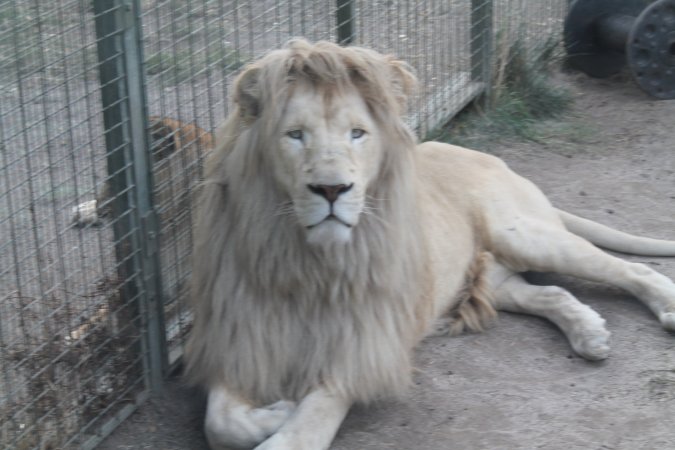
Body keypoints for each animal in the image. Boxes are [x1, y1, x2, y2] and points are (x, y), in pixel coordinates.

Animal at [185, 40, 675, 448]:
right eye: (295, 135)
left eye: (357, 133)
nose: (332, 189)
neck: (305, 263)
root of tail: (492, 157)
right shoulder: (240, 335)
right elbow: (221, 422)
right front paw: (275, 410)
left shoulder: (366, 343)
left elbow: (309, 422)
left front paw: (287, 420)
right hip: (486, 277)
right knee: (550, 291)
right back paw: (589, 333)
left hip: (527, 235)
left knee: (630, 269)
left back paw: (664, 309)